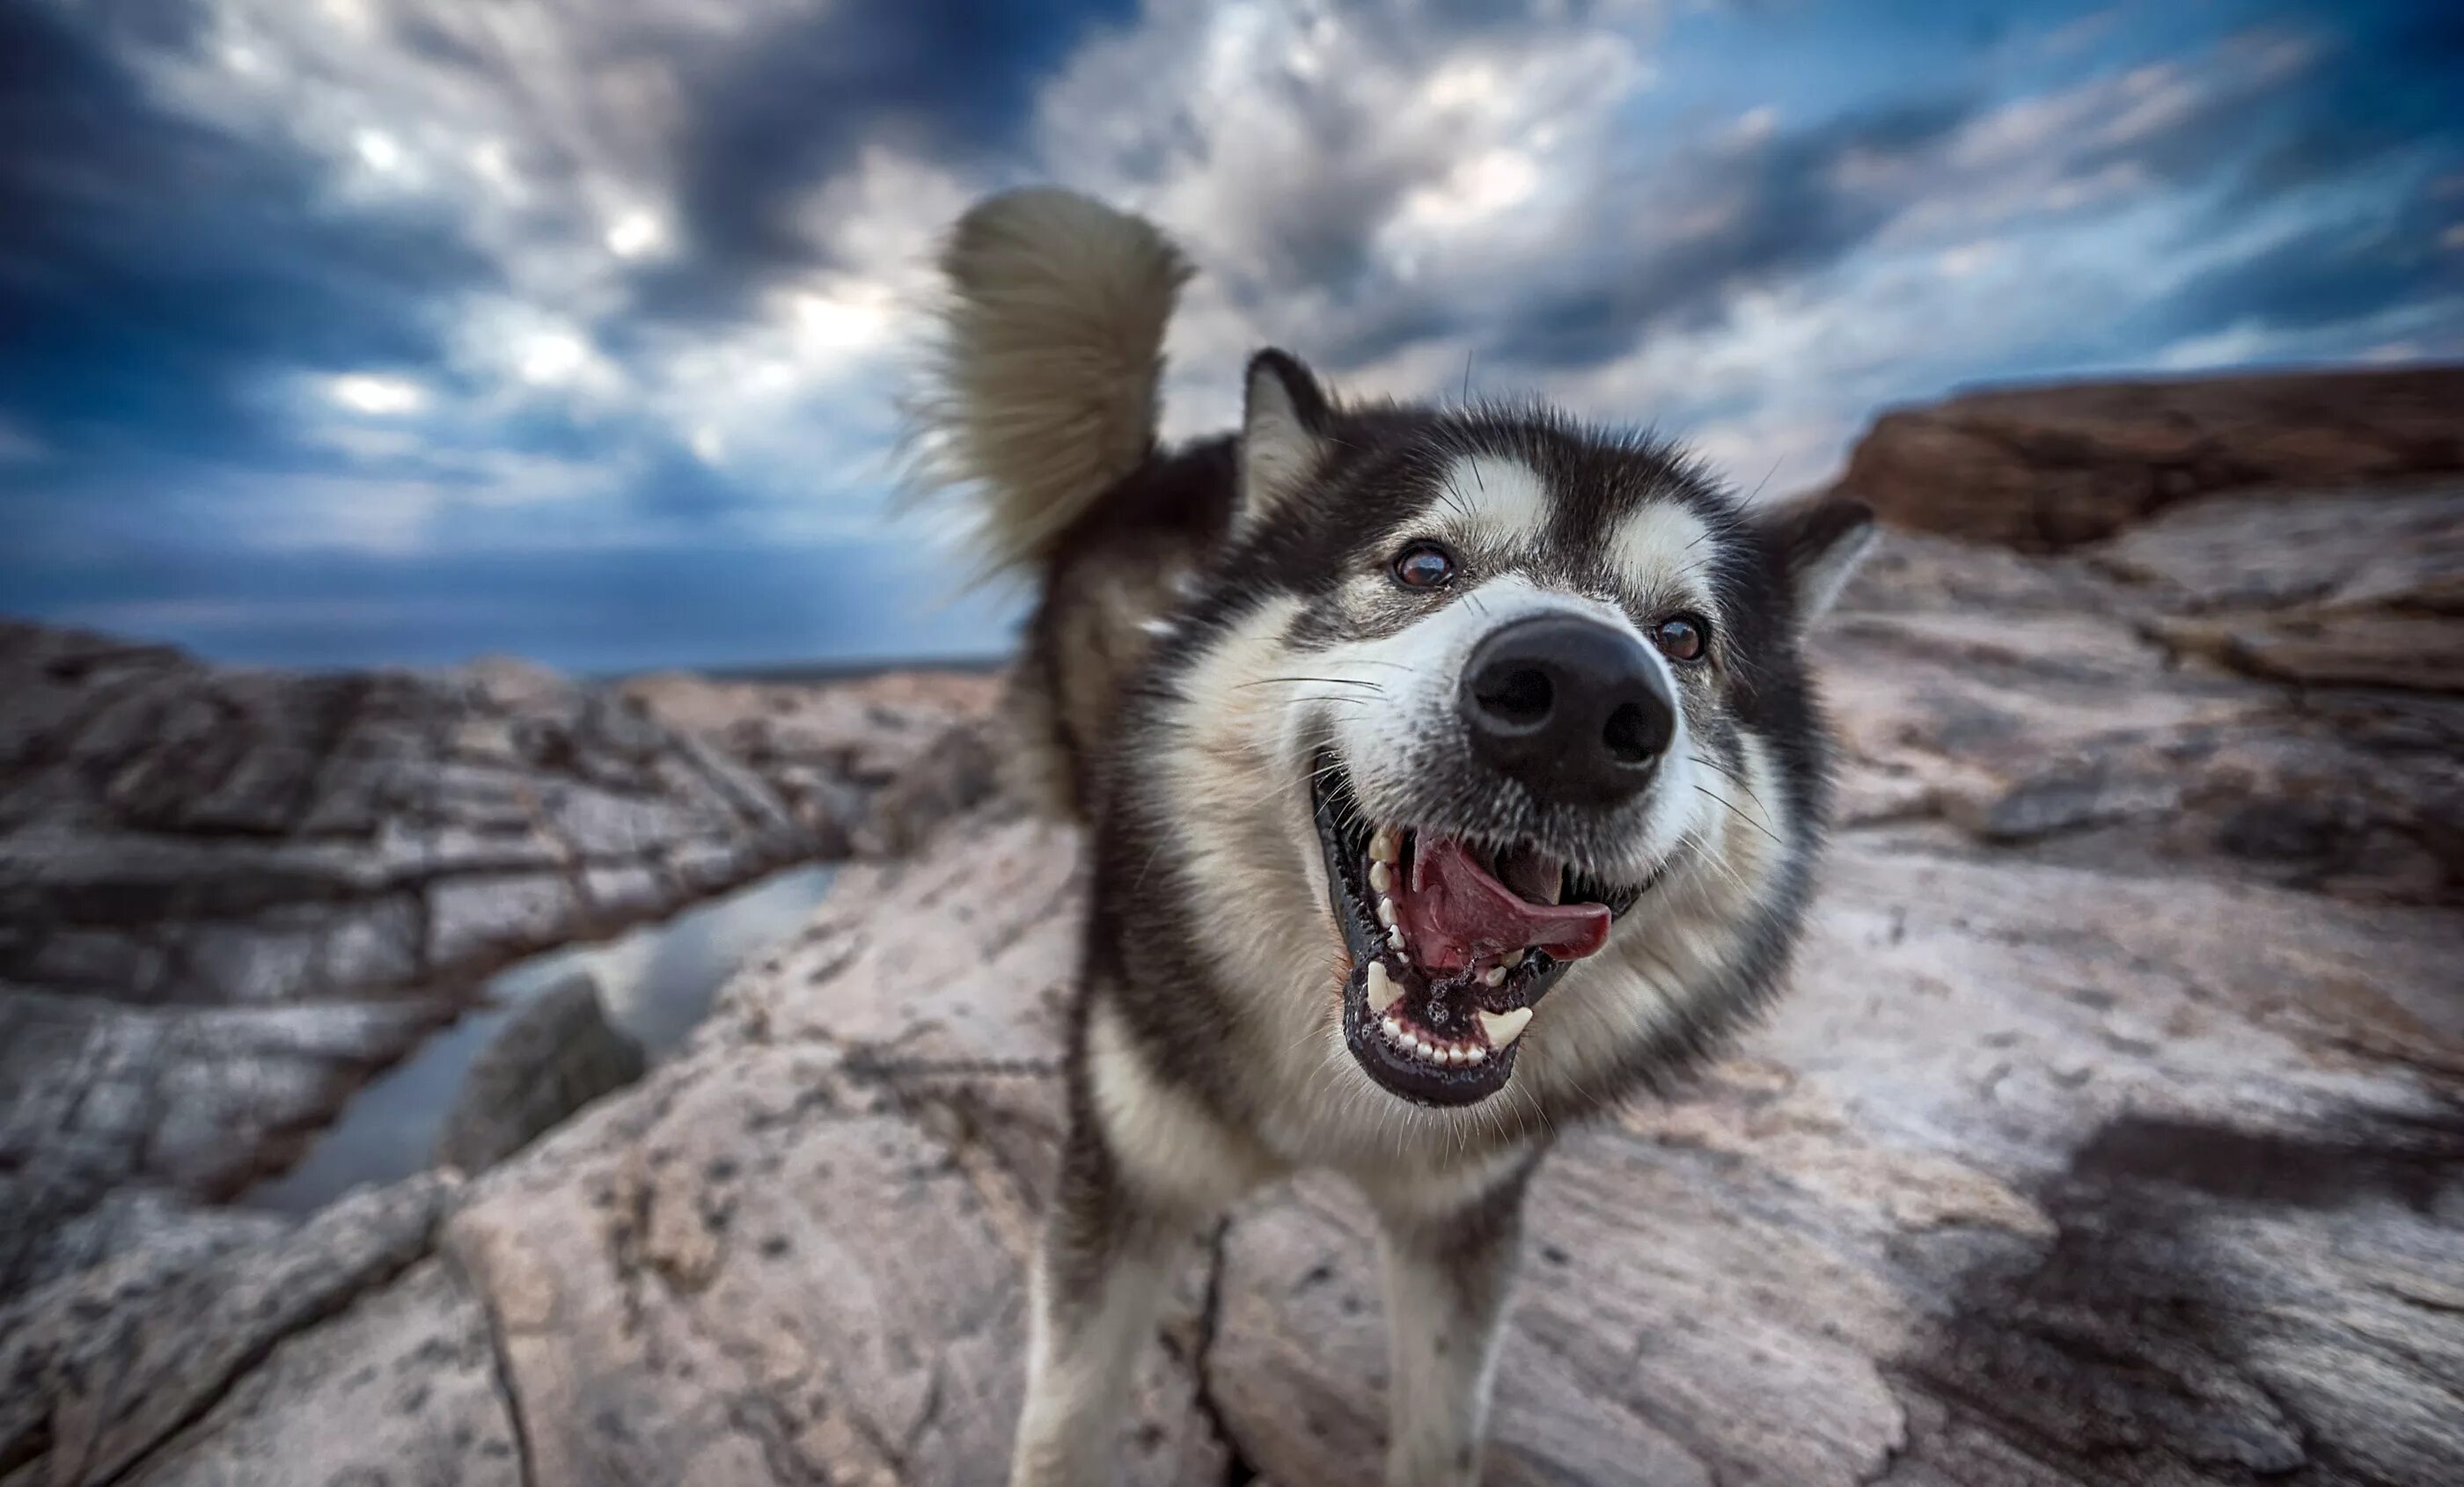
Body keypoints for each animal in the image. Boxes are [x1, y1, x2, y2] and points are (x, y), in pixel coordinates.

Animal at [916, 192, 1873, 1476]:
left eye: (1684, 635)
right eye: (1423, 562)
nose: (1578, 700)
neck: (1341, 1093)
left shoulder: (1462, 1215)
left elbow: (1440, 1433)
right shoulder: (1125, 1184)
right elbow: (1065, 1426)